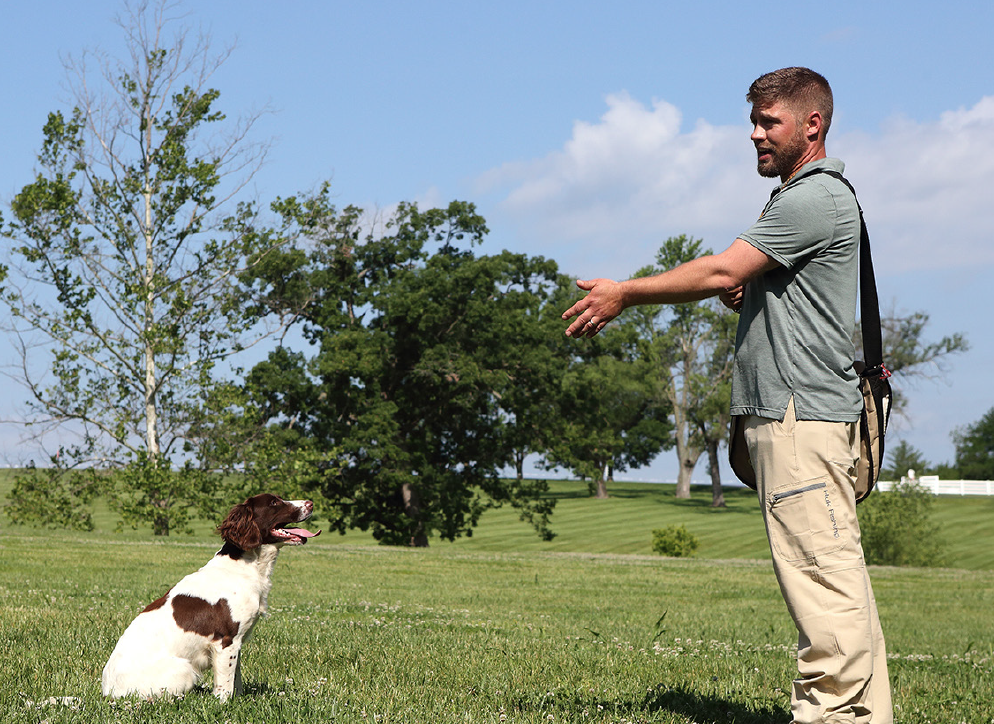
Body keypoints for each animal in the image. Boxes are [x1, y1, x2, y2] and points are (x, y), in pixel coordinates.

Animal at [101, 494, 320, 700]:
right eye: (274, 503)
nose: (310, 503)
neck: (245, 565)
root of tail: (109, 691)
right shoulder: (226, 640)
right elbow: (225, 684)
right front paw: (223, 704)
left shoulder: (237, 641)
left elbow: (235, 679)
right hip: (184, 669)